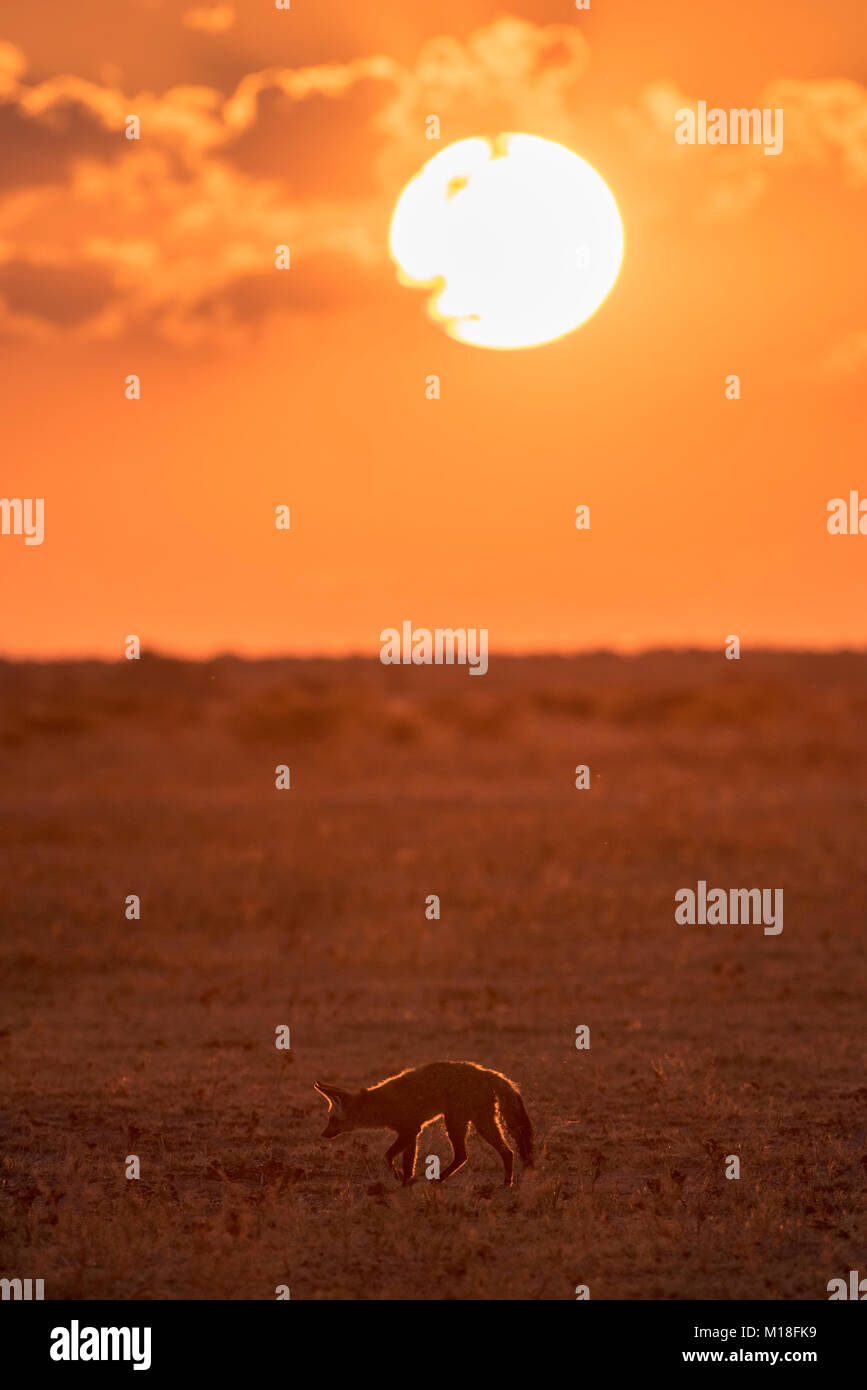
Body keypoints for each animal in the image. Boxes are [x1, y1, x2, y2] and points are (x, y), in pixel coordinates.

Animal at [311, 1056, 530, 1189]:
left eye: (331, 1119)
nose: (323, 1134)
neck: (379, 1103)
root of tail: (487, 1072)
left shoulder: (409, 1130)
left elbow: (387, 1157)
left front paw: (398, 1176)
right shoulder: (412, 1132)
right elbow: (409, 1163)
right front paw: (405, 1183)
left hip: (460, 1124)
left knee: (470, 1155)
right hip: (476, 1123)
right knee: (500, 1152)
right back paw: (504, 1183)